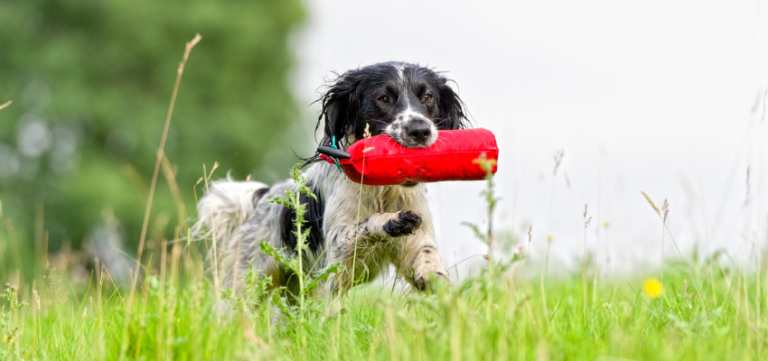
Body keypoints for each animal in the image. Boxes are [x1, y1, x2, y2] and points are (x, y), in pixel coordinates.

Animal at [192, 61, 468, 296]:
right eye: (383, 98)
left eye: (428, 97)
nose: (420, 130)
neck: (382, 190)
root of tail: (262, 197)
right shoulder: (338, 246)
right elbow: (366, 224)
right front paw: (390, 221)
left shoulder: (418, 238)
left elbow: (426, 256)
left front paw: (436, 280)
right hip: (246, 284)